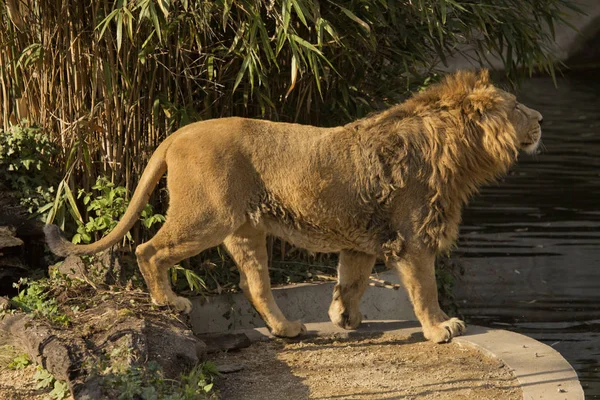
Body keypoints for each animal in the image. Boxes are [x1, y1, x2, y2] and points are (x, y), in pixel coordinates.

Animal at [45, 70, 544, 342]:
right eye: (518, 106)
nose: (541, 118)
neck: (459, 153)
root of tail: (176, 134)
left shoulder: (362, 236)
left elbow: (352, 280)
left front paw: (344, 317)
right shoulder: (413, 237)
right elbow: (426, 289)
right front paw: (441, 328)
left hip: (244, 230)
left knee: (255, 286)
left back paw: (286, 328)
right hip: (208, 216)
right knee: (147, 249)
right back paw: (169, 301)